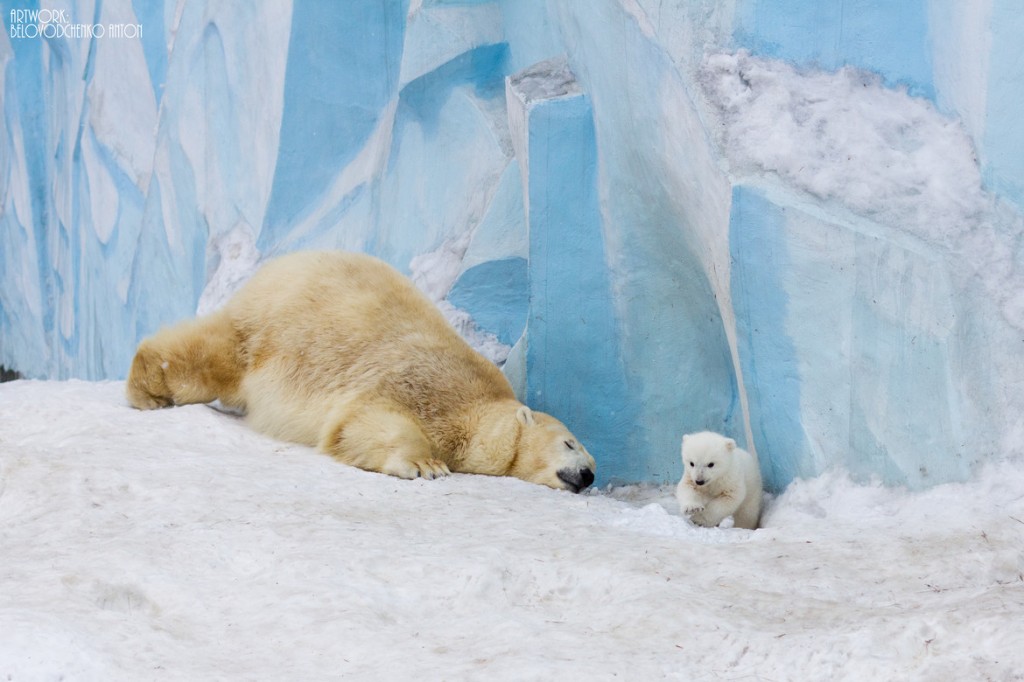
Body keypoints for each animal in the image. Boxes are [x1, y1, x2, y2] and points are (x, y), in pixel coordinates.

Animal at [129, 249, 598, 489]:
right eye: (570, 442)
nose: (590, 474)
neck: (478, 402)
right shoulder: (425, 383)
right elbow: (366, 418)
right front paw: (425, 465)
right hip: (268, 326)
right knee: (210, 355)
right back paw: (147, 389)